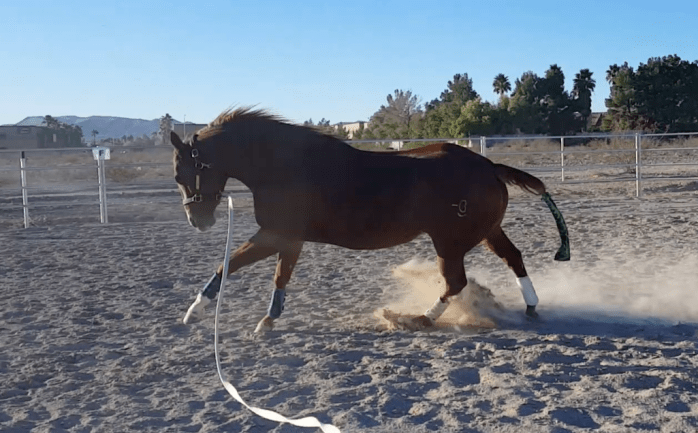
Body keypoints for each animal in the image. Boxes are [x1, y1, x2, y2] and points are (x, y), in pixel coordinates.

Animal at [170, 108, 570, 332]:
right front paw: (254, 319)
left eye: (184, 173)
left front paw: (201, 313)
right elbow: (264, 274)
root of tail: (489, 166)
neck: (284, 166)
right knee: (513, 258)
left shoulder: (278, 234)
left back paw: (419, 319)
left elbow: (237, 267)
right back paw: (531, 307)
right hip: (486, 232)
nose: (196, 221)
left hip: (450, 242)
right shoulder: (287, 239)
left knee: (456, 281)